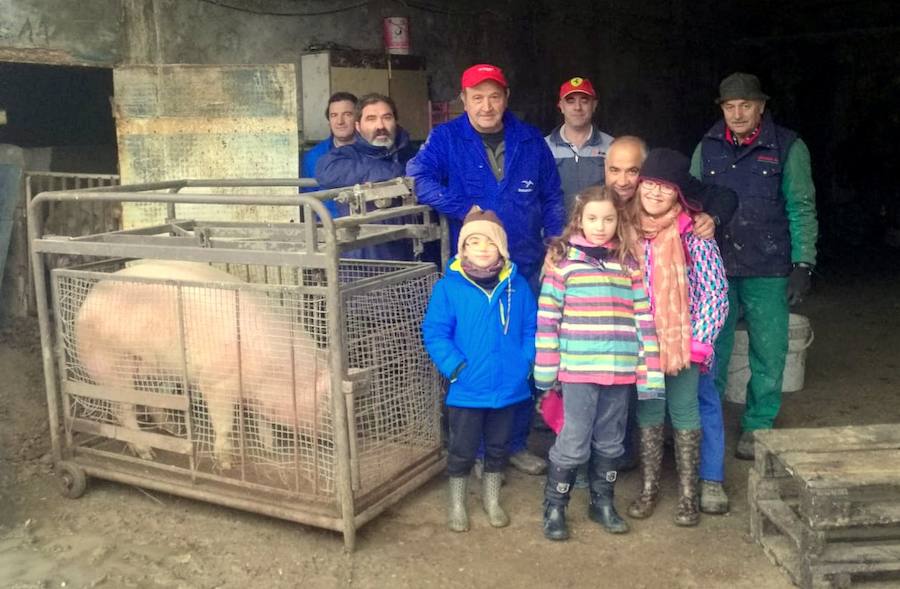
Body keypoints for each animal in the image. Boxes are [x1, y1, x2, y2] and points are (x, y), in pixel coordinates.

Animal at [74, 260, 332, 469]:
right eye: (325, 402)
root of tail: (85, 305)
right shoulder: (217, 382)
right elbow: (224, 424)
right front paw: (227, 464)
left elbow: (263, 421)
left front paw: (270, 448)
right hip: (110, 363)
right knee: (123, 410)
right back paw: (148, 454)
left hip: (150, 368)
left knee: (151, 402)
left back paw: (174, 430)